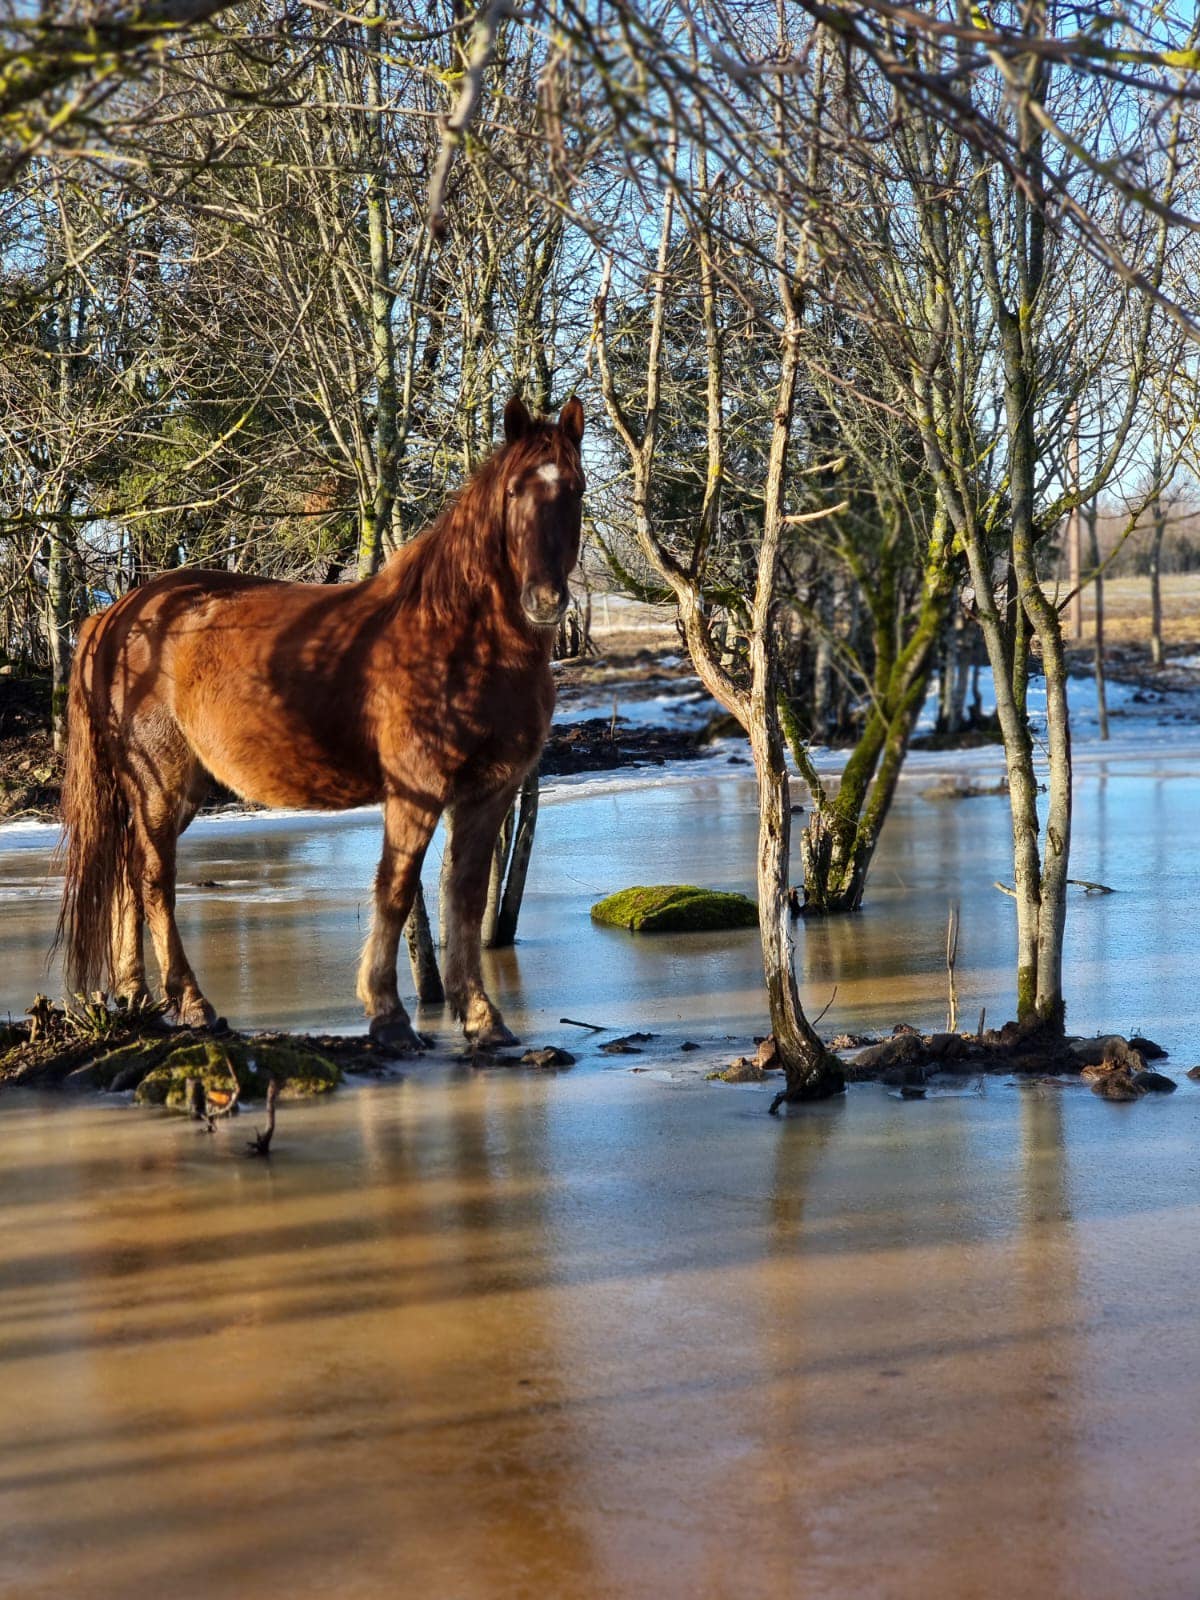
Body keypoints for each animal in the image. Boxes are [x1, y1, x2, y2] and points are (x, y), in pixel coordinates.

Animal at [58, 398, 585, 1049]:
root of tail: (116, 614)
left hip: (172, 792)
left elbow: (462, 895)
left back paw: (135, 993)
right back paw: (193, 1003)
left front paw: (482, 1016)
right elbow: (396, 888)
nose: (545, 601)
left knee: (131, 875)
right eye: (514, 491)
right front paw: (387, 1012)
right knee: (155, 881)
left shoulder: (489, 792)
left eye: (576, 491)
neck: (457, 638)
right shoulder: (415, 791)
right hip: (159, 783)